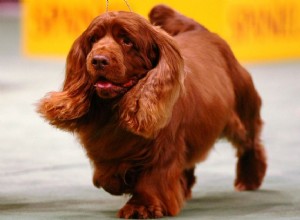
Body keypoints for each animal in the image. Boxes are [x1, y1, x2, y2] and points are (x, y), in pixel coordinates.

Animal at [38, 4, 268, 218]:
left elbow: (152, 179)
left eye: (127, 41)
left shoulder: (162, 150)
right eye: (93, 39)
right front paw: (119, 181)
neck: (117, 106)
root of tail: (201, 30)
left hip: (241, 112)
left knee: (251, 143)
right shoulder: (104, 146)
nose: (98, 60)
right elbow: (106, 174)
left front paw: (141, 207)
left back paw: (249, 179)